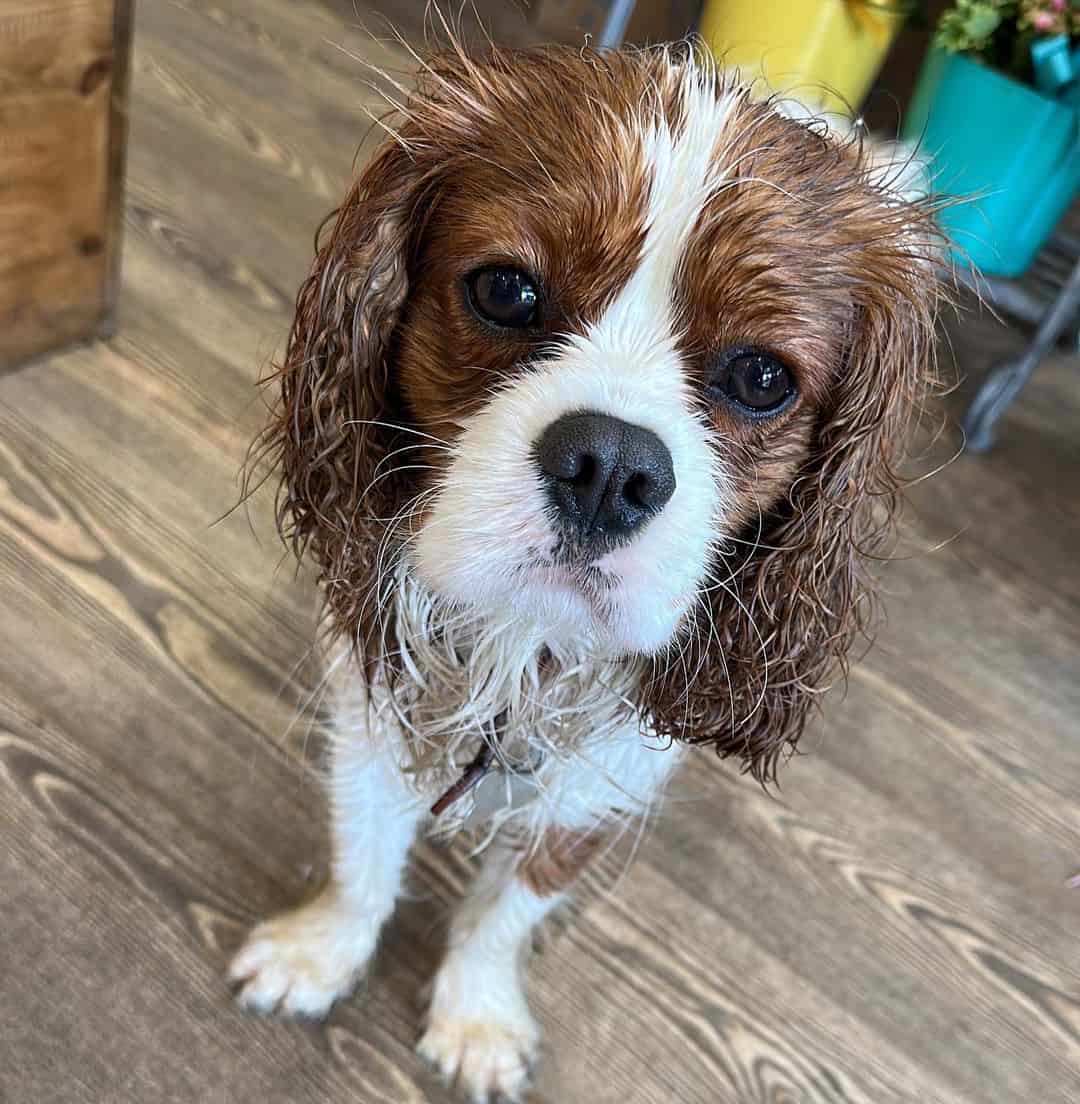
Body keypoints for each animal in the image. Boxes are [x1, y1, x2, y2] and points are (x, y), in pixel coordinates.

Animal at [227, 38, 936, 1099]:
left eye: (762, 378)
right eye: (506, 291)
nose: (610, 467)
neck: (526, 641)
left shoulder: (604, 783)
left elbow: (508, 909)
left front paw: (475, 1012)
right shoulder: (368, 701)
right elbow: (364, 855)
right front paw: (325, 951)